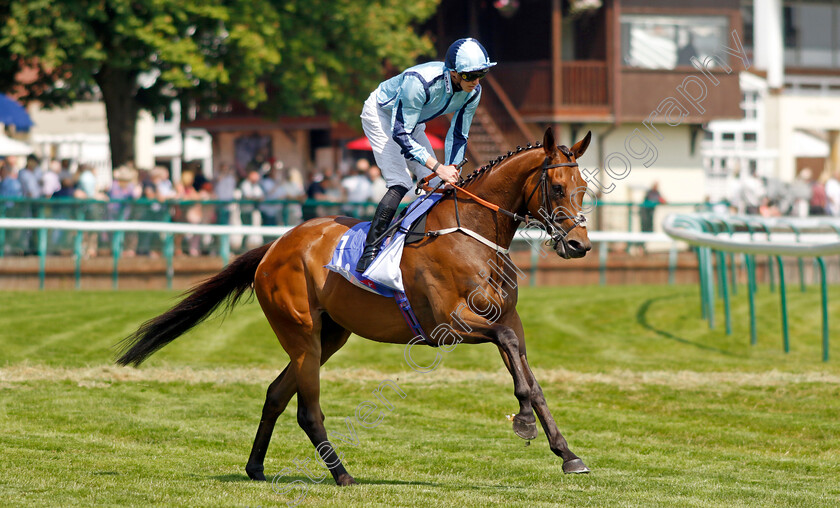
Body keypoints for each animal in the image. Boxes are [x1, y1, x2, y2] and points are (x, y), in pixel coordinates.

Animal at [115, 127, 592, 484]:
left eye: (584, 188)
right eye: (556, 186)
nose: (579, 245)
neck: (471, 234)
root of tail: (274, 246)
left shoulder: (508, 318)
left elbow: (530, 375)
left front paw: (567, 452)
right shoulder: (450, 324)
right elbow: (510, 349)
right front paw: (524, 421)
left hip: (330, 335)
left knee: (275, 393)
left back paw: (256, 467)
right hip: (302, 334)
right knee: (307, 409)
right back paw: (341, 474)